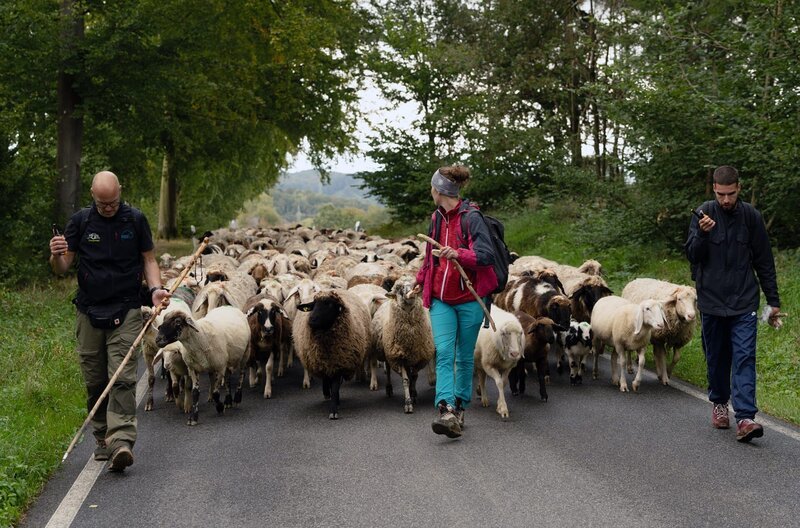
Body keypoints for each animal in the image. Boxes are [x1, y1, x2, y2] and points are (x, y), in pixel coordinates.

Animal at [290, 286, 372, 418]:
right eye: (313, 305)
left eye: (329, 304)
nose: (311, 319)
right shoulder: (322, 362)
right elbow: (327, 381)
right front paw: (328, 395)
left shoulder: (339, 363)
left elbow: (335, 387)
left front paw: (334, 409)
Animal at [368, 278, 432, 414]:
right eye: (399, 288)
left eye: (414, 284)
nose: (411, 293)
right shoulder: (399, 357)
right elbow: (405, 380)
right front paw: (408, 403)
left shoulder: (418, 357)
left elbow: (414, 377)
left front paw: (413, 394)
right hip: (388, 353)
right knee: (388, 370)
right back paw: (389, 388)